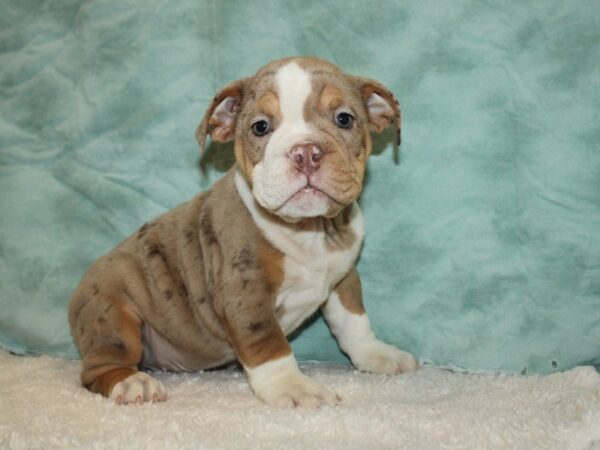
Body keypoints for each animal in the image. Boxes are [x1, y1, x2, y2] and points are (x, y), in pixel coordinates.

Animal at [68, 57, 418, 408]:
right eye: (260, 127)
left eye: (344, 119)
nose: (305, 152)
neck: (311, 228)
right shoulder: (245, 293)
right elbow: (269, 344)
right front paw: (293, 386)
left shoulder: (345, 279)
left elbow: (353, 320)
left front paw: (376, 354)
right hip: (114, 311)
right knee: (99, 367)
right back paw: (132, 382)